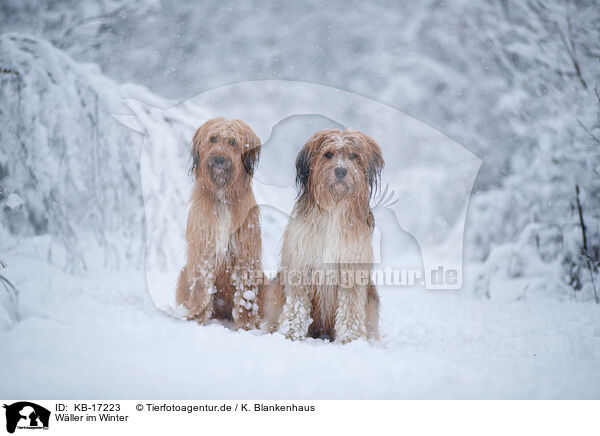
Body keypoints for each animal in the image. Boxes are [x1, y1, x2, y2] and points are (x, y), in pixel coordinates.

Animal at [176, 117, 264, 328]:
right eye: (213, 139)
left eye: (232, 142)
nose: (218, 159)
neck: (222, 195)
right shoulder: (204, 248)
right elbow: (201, 287)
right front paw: (197, 317)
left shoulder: (246, 253)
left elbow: (246, 294)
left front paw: (246, 325)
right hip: (184, 273)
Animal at [262, 127, 384, 342]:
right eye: (328, 154)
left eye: (353, 155)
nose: (341, 171)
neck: (334, 206)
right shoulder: (301, 264)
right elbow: (297, 307)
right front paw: (291, 334)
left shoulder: (351, 268)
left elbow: (350, 309)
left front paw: (350, 339)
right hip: (277, 287)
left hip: (371, 296)